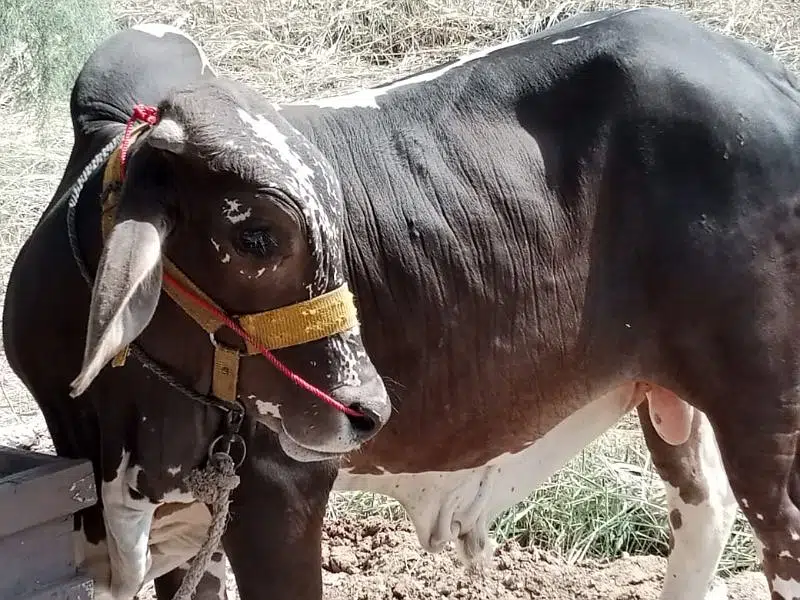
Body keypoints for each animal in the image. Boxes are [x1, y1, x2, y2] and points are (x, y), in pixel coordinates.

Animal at [4, 4, 800, 600]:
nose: (369, 410)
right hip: (669, 395)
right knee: (704, 512)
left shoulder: (278, 495)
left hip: (766, 417)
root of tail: (766, 72)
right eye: (256, 234)